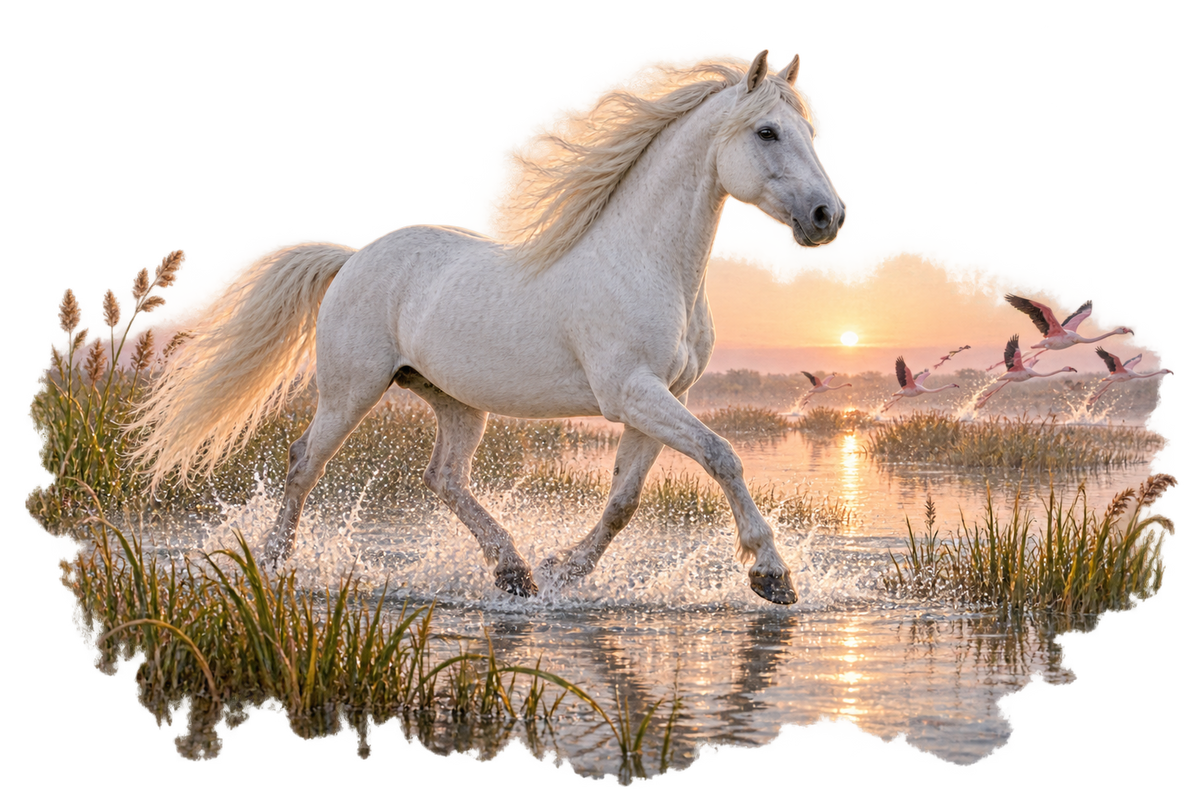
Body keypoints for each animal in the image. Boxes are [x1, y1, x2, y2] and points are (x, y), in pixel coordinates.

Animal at [126, 47, 847, 605]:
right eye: (767, 133)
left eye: (806, 133)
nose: (826, 216)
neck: (648, 264)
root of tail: (353, 260)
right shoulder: (633, 392)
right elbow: (723, 456)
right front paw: (773, 577)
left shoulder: (661, 397)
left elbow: (623, 500)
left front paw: (563, 570)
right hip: (350, 389)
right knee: (306, 462)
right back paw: (275, 564)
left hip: (456, 402)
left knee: (442, 478)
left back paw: (514, 572)